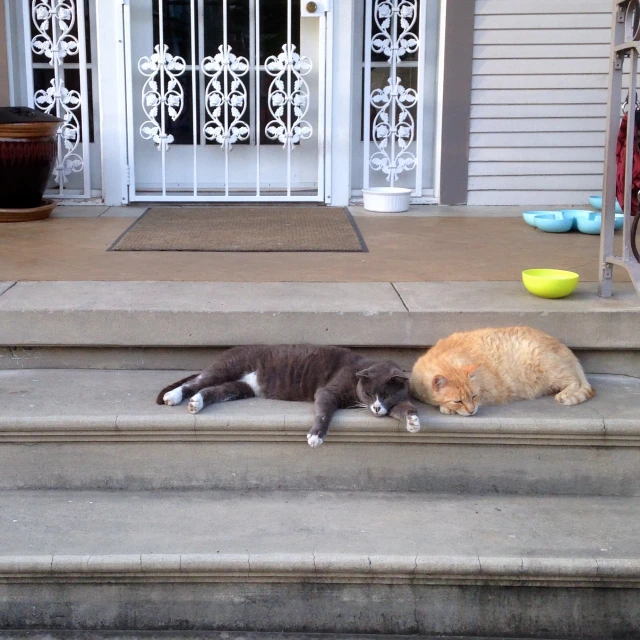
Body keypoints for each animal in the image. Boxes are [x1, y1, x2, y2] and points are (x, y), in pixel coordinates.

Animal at [156, 344, 420, 444]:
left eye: (386, 396)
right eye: (367, 392)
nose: (376, 407)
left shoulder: (392, 404)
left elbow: (402, 408)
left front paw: (413, 421)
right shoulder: (329, 390)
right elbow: (324, 411)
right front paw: (316, 436)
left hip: (241, 388)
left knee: (212, 390)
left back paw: (196, 403)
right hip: (229, 366)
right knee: (197, 381)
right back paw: (174, 397)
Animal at [410, 324, 596, 416]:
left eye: (474, 396)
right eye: (458, 401)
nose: (471, 411)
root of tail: (563, 346)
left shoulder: (489, 392)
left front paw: (446, 408)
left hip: (549, 367)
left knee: (575, 381)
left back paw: (565, 394)